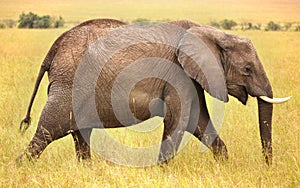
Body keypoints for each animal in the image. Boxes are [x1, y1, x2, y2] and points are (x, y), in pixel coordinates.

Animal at [17, 18, 290, 164]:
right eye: (247, 69)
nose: (266, 166)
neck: (211, 32)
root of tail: (54, 48)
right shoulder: (177, 74)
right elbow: (178, 121)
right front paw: (162, 171)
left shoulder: (189, 78)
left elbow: (199, 121)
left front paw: (224, 165)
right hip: (69, 83)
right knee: (47, 131)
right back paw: (20, 168)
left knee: (79, 135)